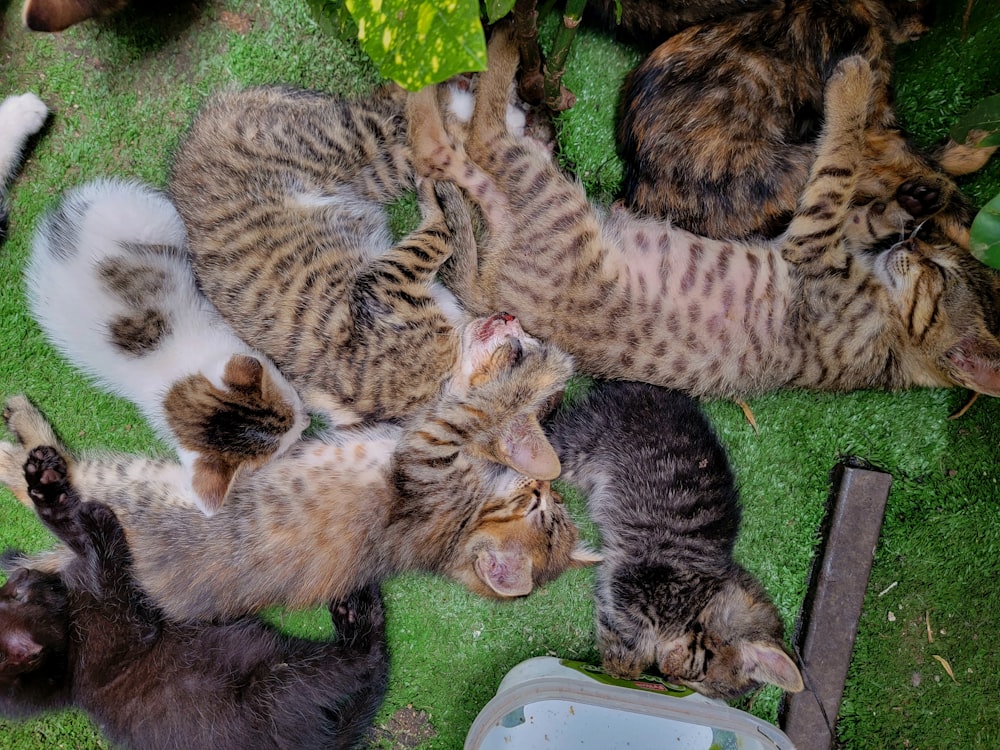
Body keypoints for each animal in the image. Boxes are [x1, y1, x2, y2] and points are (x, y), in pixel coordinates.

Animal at [548, 384, 804, 704]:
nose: (668, 675)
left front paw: (614, 659)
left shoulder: (621, 581)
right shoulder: (635, 575)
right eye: (702, 669)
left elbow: (612, 618)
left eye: (696, 686)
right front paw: (626, 666)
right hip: (577, 445)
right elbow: (636, 628)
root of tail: (643, 388)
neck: (704, 595)